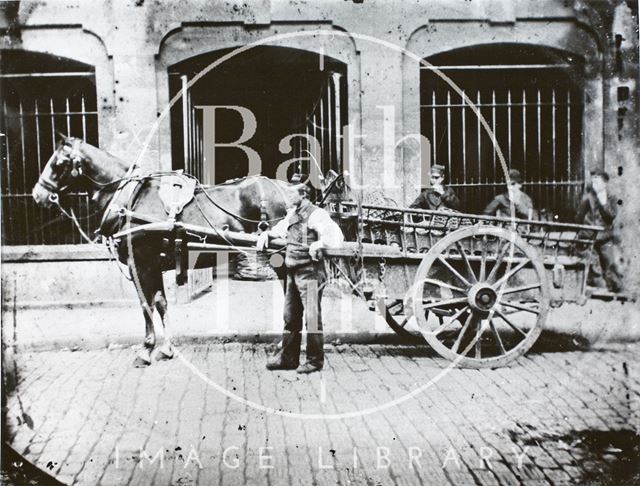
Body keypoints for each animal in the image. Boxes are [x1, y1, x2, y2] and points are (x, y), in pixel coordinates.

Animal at [33, 136, 296, 364]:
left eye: (58, 163)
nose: (37, 194)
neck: (129, 200)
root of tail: (290, 191)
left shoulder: (140, 263)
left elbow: (146, 305)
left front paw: (146, 350)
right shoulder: (153, 265)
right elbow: (161, 303)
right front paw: (167, 349)